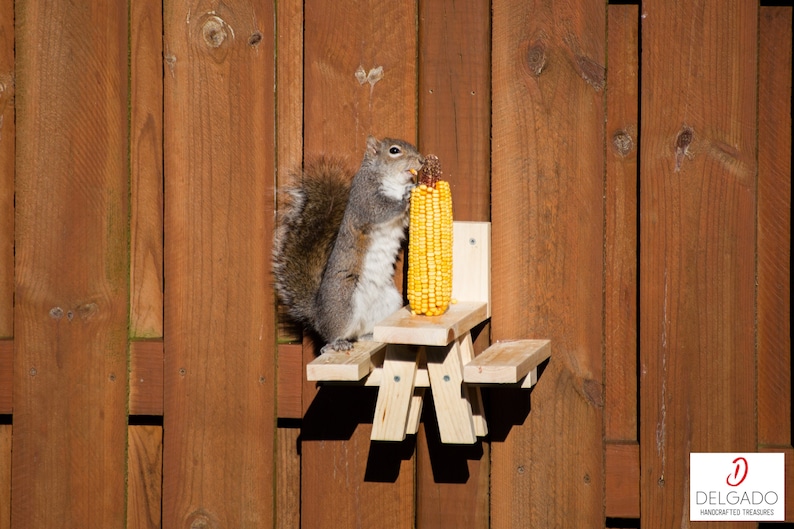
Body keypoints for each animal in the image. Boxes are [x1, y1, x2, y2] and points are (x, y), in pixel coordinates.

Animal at [273, 136, 425, 353]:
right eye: (394, 151)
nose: (421, 161)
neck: (392, 181)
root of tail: (318, 315)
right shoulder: (366, 199)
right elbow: (383, 210)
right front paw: (408, 193)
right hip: (344, 306)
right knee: (332, 336)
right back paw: (336, 344)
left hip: (388, 302)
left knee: (360, 333)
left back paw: (371, 336)